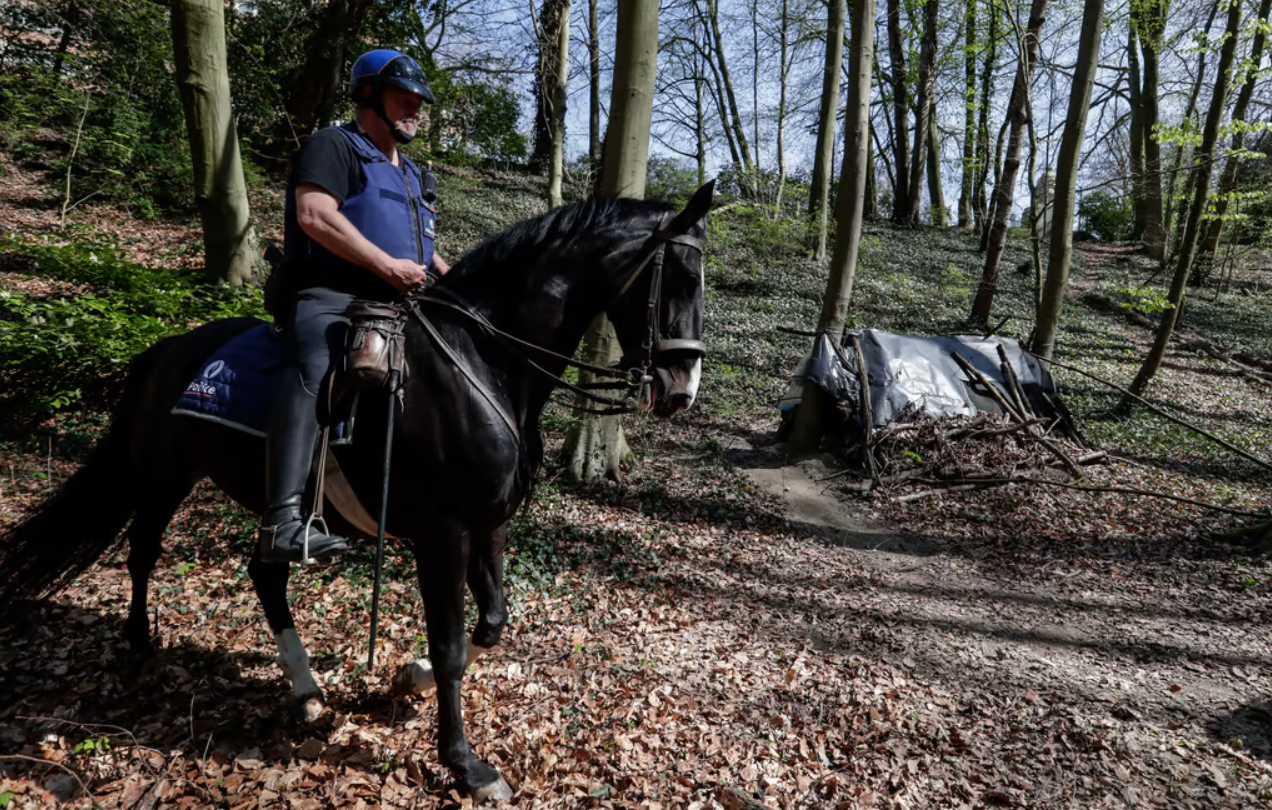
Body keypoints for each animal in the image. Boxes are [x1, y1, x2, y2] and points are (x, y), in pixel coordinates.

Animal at [0, 181, 717, 798]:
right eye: (680, 278)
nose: (681, 390)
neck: (483, 364)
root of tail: (167, 349)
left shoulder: (490, 523)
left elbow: (491, 623)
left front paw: (407, 679)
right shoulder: (443, 532)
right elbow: (452, 647)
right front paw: (465, 764)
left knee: (265, 572)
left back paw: (305, 689)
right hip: (163, 476)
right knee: (144, 551)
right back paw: (142, 646)